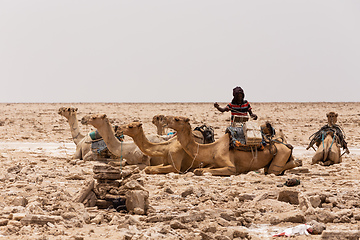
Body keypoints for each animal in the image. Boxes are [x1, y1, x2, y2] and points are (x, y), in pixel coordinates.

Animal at [163, 115, 298, 175]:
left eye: (176, 119)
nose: (164, 119)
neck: (212, 149)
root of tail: (287, 145)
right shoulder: (214, 163)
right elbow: (200, 169)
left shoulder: (230, 166)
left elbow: (200, 170)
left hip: (281, 153)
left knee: (273, 169)